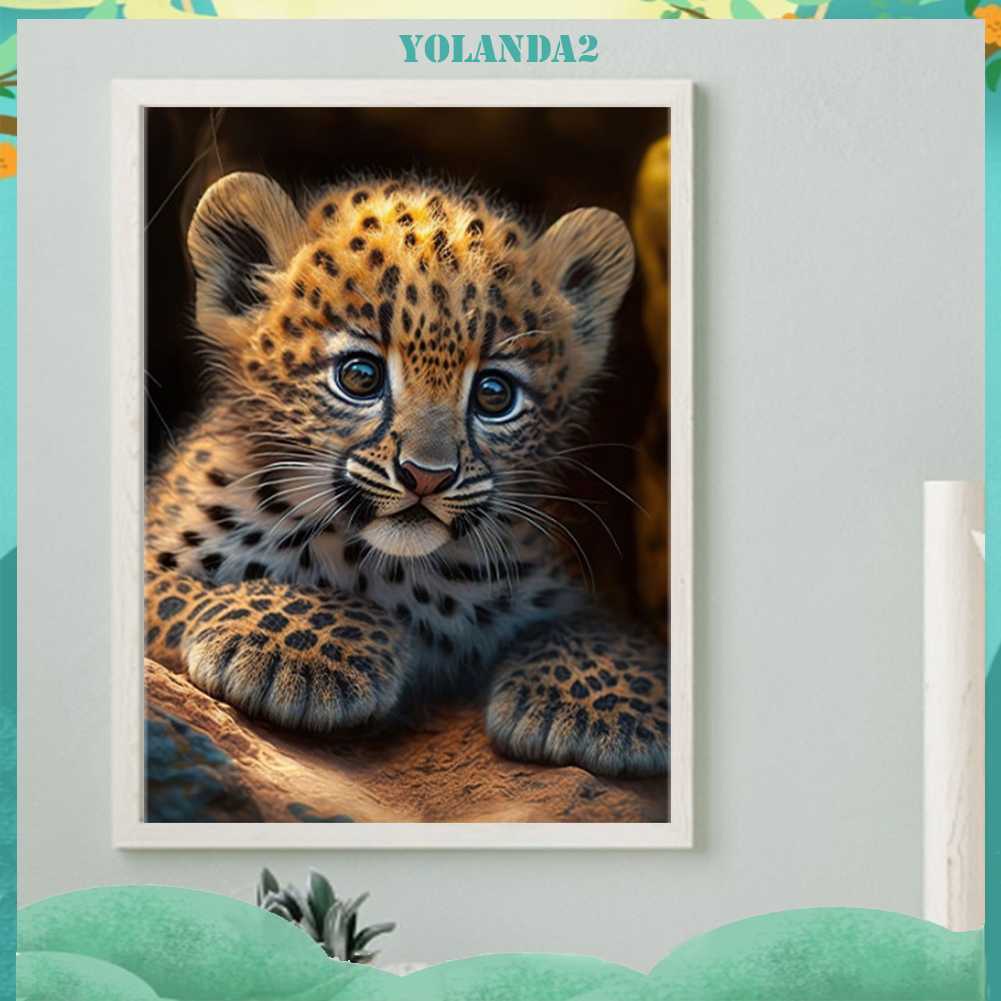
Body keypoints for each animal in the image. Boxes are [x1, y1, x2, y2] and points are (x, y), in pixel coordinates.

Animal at [144, 171, 669, 779]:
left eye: (495, 394)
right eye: (359, 376)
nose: (426, 476)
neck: (390, 572)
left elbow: (599, 629)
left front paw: (600, 704)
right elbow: (181, 589)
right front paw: (303, 645)